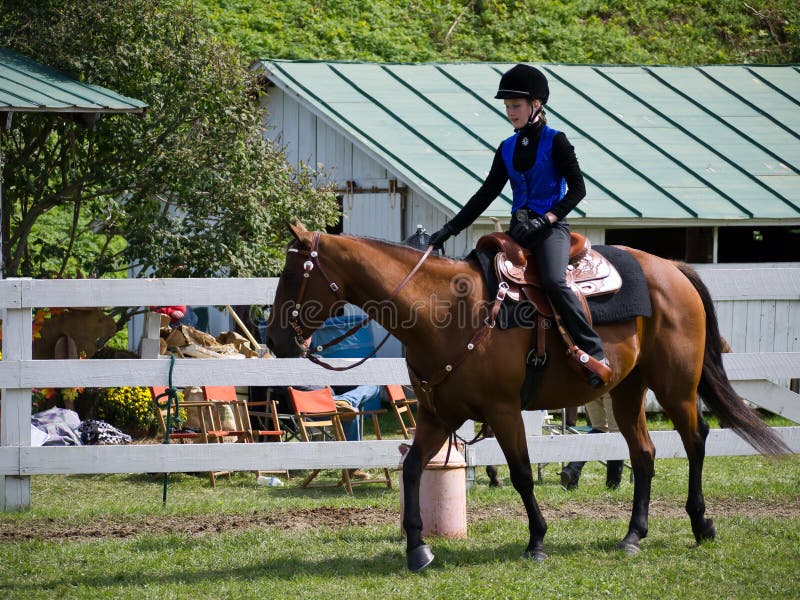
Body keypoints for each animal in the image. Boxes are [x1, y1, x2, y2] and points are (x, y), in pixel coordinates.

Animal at [265, 221, 790, 572]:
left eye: (291, 275)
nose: (275, 340)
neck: (445, 309)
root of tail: (675, 270)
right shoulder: (438, 415)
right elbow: (412, 468)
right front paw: (417, 548)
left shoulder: (502, 411)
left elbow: (519, 474)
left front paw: (537, 541)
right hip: (627, 391)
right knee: (643, 454)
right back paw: (633, 536)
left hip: (676, 387)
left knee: (696, 440)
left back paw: (701, 525)